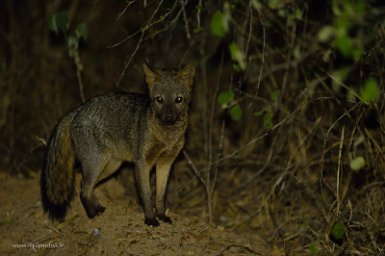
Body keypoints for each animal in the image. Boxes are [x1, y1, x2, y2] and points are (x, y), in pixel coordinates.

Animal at [40, 63, 194, 226]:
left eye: (178, 99)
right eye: (159, 99)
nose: (169, 119)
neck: (166, 137)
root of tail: (79, 108)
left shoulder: (165, 163)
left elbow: (160, 195)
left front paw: (161, 215)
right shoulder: (142, 163)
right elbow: (146, 195)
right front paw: (150, 219)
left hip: (111, 166)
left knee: (87, 186)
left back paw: (99, 209)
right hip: (97, 164)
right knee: (83, 188)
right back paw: (92, 215)